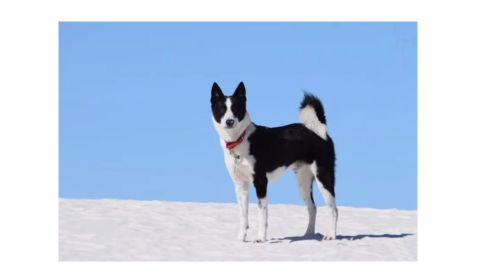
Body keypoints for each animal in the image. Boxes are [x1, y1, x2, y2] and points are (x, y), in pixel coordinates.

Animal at [210, 81, 338, 243]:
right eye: (222, 109)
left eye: (236, 109)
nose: (230, 121)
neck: (240, 139)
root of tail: (319, 130)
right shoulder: (240, 186)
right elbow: (243, 215)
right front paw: (241, 239)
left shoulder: (260, 182)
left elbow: (262, 213)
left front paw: (260, 238)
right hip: (303, 182)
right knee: (312, 208)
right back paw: (308, 235)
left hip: (323, 176)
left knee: (333, 209)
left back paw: (331, 235)